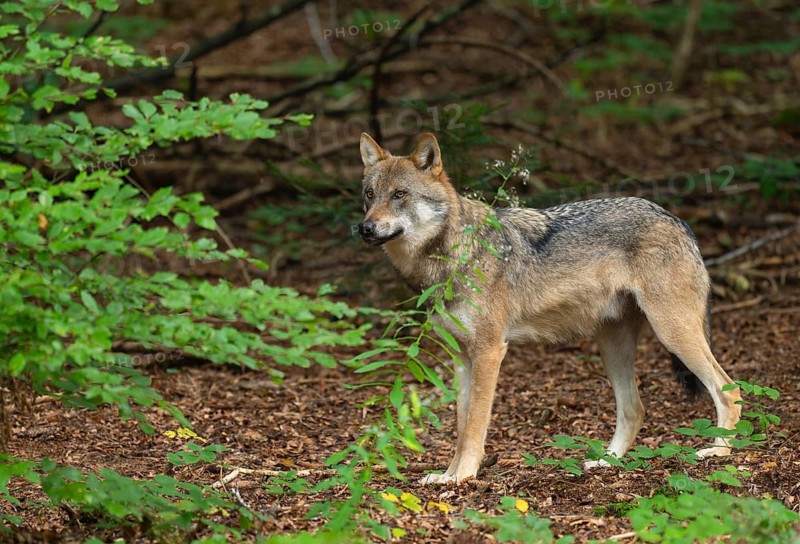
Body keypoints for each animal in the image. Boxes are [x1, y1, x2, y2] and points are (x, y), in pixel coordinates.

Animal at [357, 132, 742, 485]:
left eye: (399, 194)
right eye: (369, 194)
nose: (364, 228)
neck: (453, 256)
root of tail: (677, 220)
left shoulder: (489, 351)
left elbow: (475, 426)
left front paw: (463, 477)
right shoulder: (461, 357)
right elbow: (462, 425)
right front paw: (447, 476)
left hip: (672, 333)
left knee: (730, 389)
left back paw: (719, 452)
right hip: (613, 346)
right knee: (635, 409)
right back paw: (605, 462)